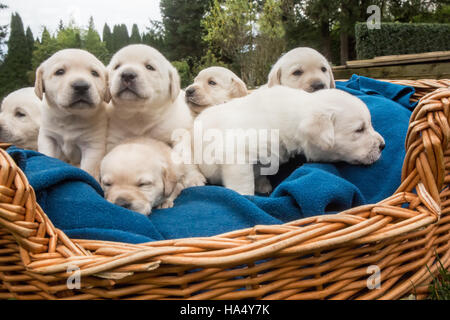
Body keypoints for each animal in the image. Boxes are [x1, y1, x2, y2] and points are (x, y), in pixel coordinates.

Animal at [34, 49, 110, 180]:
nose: (81, 86)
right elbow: (48, 155)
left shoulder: (93, 146)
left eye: (94, 73)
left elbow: (88, 170)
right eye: (59, 72)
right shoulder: (48, 137)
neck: (71, 118)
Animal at [195, 85, 384, 195]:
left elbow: (259, 172)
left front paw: (263, 185)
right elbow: (243, 184)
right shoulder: (237, 155)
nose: (383, 145)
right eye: (359, 130)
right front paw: (247, 197)